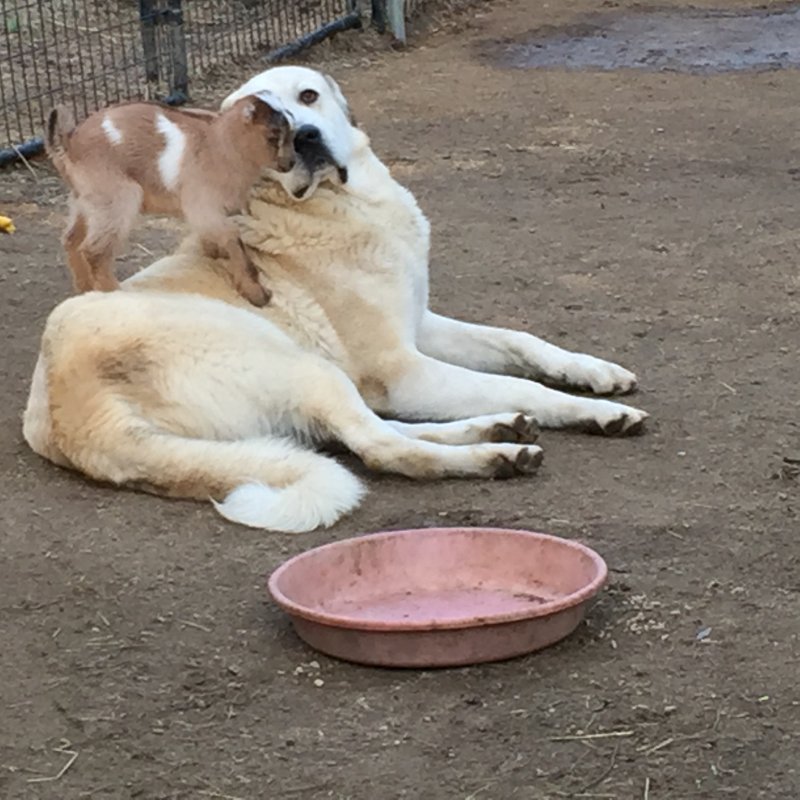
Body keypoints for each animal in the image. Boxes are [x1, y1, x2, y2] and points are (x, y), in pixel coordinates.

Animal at [23, 67, 648, 532]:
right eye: (268, 125)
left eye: (307, 97)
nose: (306, 137)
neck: (342, 205)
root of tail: (74, 418)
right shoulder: (403, 370)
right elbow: (522, 384)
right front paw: (596, 412)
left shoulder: (422, 326)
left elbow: (521, 341)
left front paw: (595, 373)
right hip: (305, 366)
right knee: (380, 447)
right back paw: (494, 456)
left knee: (367, 434)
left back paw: (499, 430)